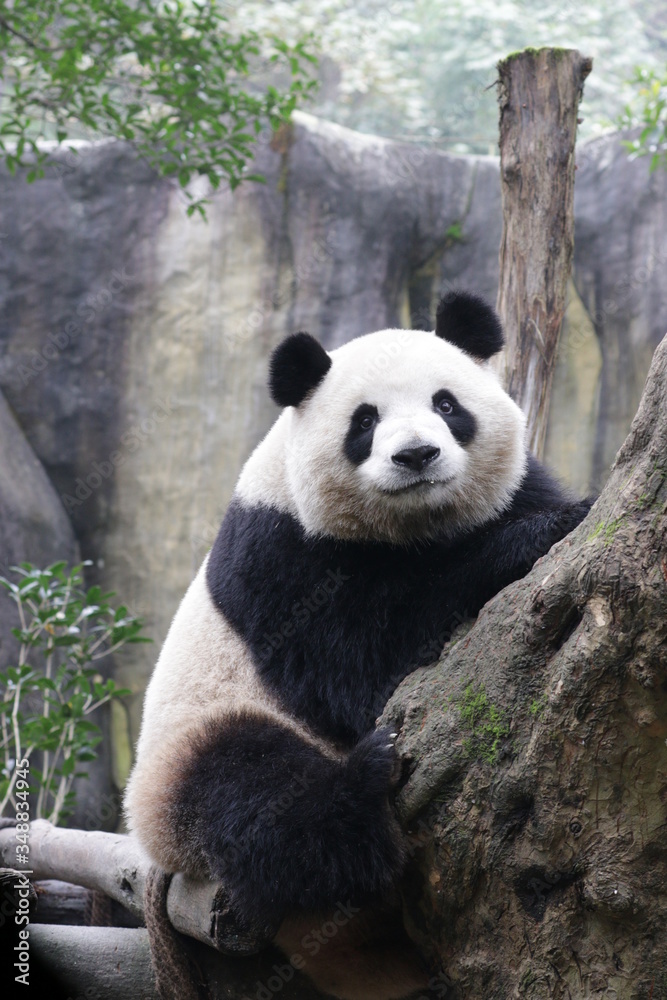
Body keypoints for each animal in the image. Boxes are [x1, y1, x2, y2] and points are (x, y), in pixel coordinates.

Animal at [125, 291, 591, 1000]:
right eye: (365, 421)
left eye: (446, 404)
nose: (417, 455)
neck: (410, 528)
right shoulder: (283, 559)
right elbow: (368, 668)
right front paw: (538, 536)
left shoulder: (511, 486)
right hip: (182, 756)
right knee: (254, 792)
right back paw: (363, 788)